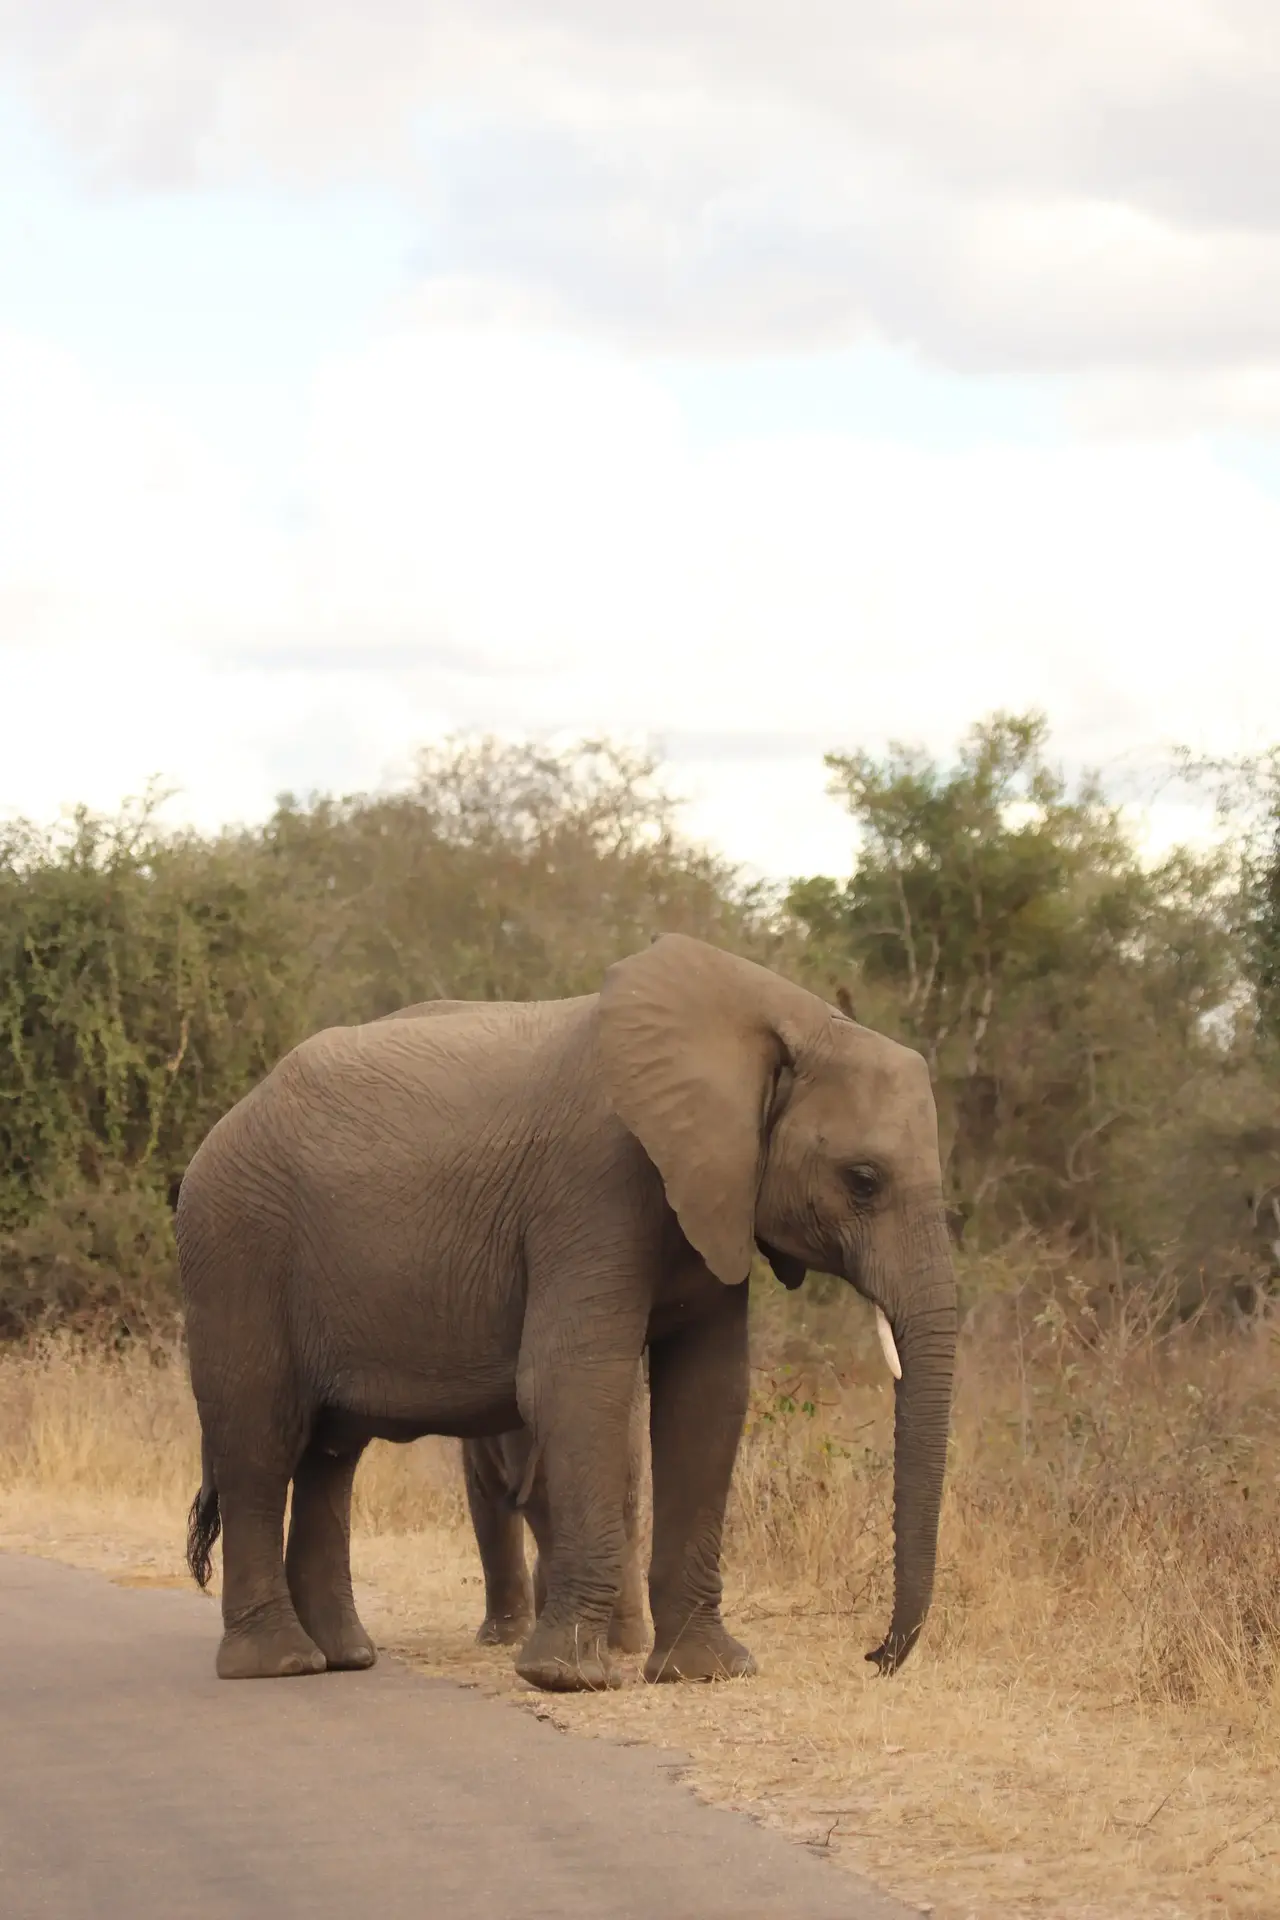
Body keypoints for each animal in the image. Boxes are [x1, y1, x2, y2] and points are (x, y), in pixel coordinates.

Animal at [178, 933, 956, 1693]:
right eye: (863, 1181)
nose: (875, 1657)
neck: (780, 1018)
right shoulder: (595, 1184)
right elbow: (576, 1381)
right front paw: (568, 1678)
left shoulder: (714, 1195)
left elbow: (708, 1396)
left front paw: (705, 1672)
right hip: (236, 1246)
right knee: (262, 1440)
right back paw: (279, 1664)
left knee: (329, 1456)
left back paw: (343, 1657)